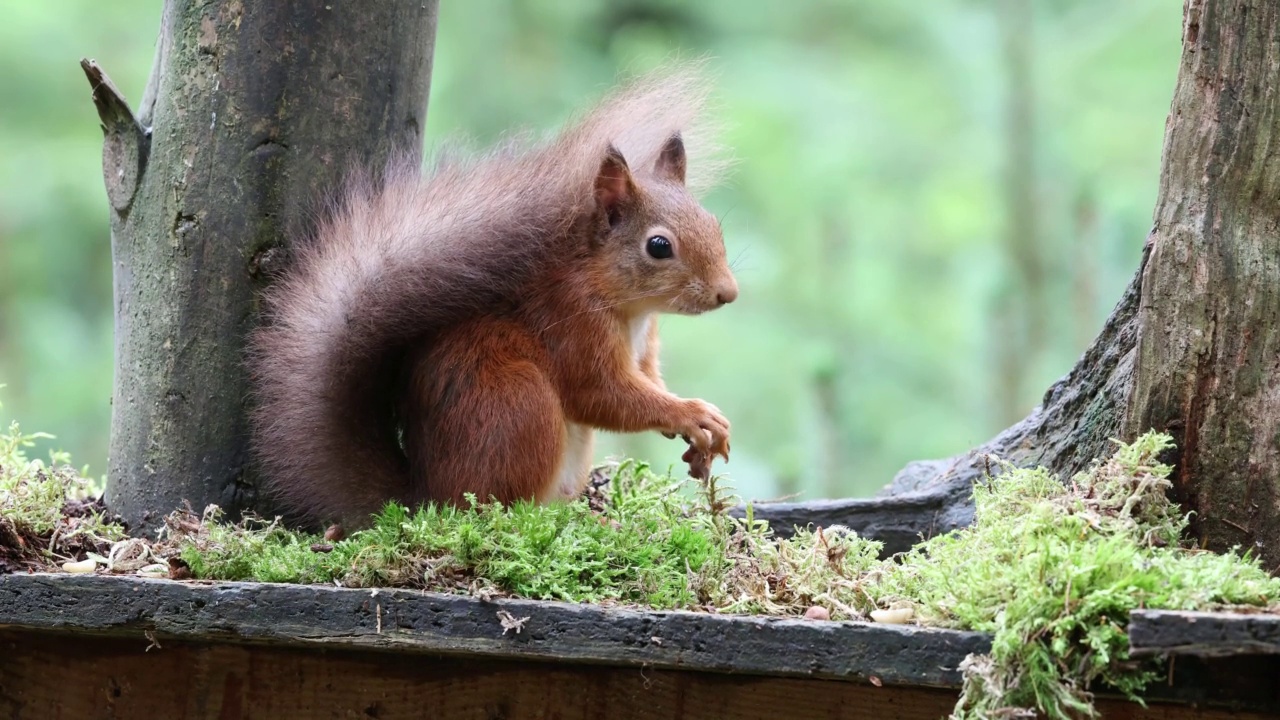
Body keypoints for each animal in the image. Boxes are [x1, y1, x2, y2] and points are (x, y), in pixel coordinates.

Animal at [247, 64, 742, 525]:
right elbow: (602, 394)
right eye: (658, 246)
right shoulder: (572, 323)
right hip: (519, 404)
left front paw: (702, 433)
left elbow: (648, 380)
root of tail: (425, 502)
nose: (728, 293)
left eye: (713, 223)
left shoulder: (644, 345)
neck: (627, 305)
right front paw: (690, 413)